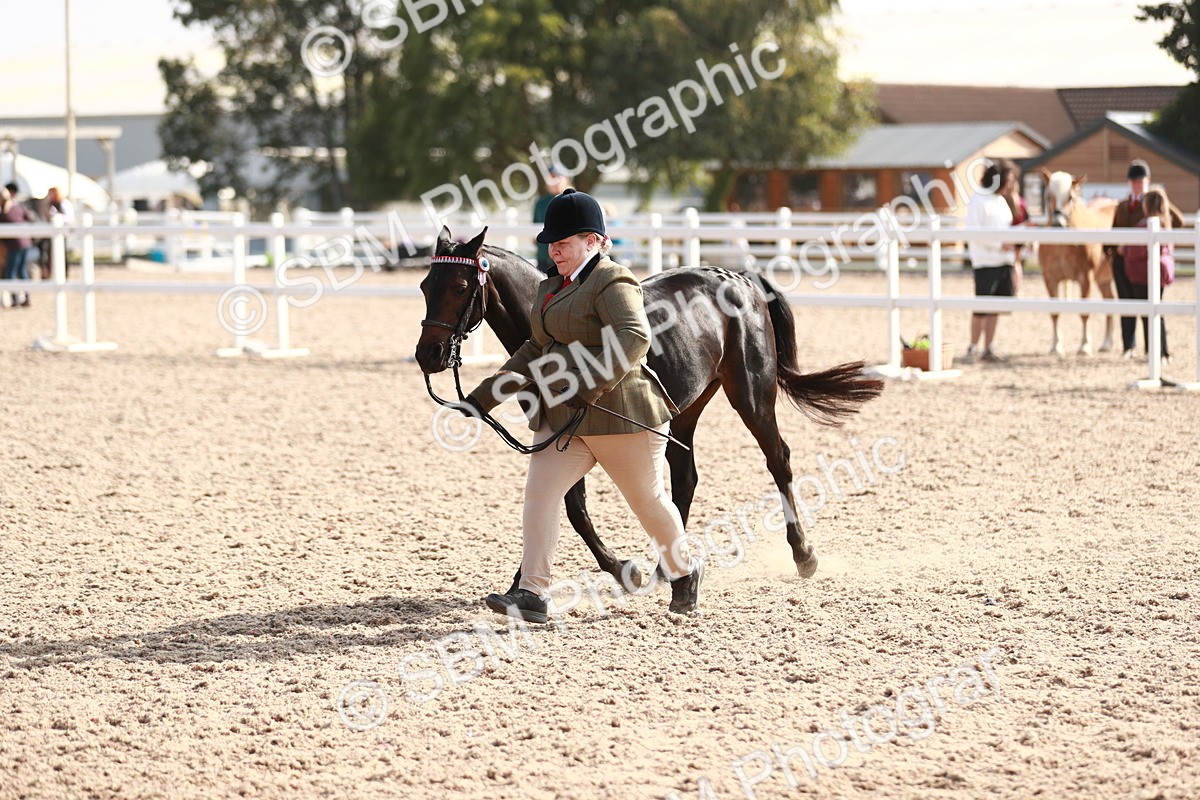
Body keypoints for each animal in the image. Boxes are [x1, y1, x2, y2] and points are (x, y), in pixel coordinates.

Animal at [415, 227, 884, 591]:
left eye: (459, 287)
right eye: (424, 286)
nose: (428, 355)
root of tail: (740, 278)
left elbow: (573, 507)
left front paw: (623, 569)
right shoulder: (554, 435)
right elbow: (564, 503)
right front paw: (522, 582)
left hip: (751, 393)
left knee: (778, 461)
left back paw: (803, 555)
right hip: (685, 408)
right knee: (685, 478)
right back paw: (666, 567)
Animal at [1039, 169, 1116, 356]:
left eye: (1070, 197)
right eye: (1048, 196)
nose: (1057, 224)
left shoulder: (1085, 278)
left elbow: (1084, 313)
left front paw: (1084, 346)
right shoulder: (1050, 278)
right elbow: (1055, 313)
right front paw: (1056, 347)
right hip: (1103, 279)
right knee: (1110, 301)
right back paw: (1106, 344)